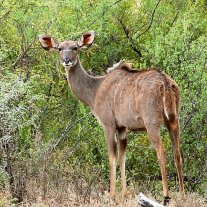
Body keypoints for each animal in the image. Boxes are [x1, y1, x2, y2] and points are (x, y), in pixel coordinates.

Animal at [38, 30, 184, 204]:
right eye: (60, 48)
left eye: (75, 48)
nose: (67, 60)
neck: (95, 89)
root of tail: (165, 82)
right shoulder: (122, 128)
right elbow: (122, 157)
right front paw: (124, 194)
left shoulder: (108, 125)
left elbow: (112, 157)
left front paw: (112, 196)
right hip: (173, 120)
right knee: (177, 152)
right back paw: (183, 194)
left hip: (152, 124)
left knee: (161, 151)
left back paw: (166, 196)